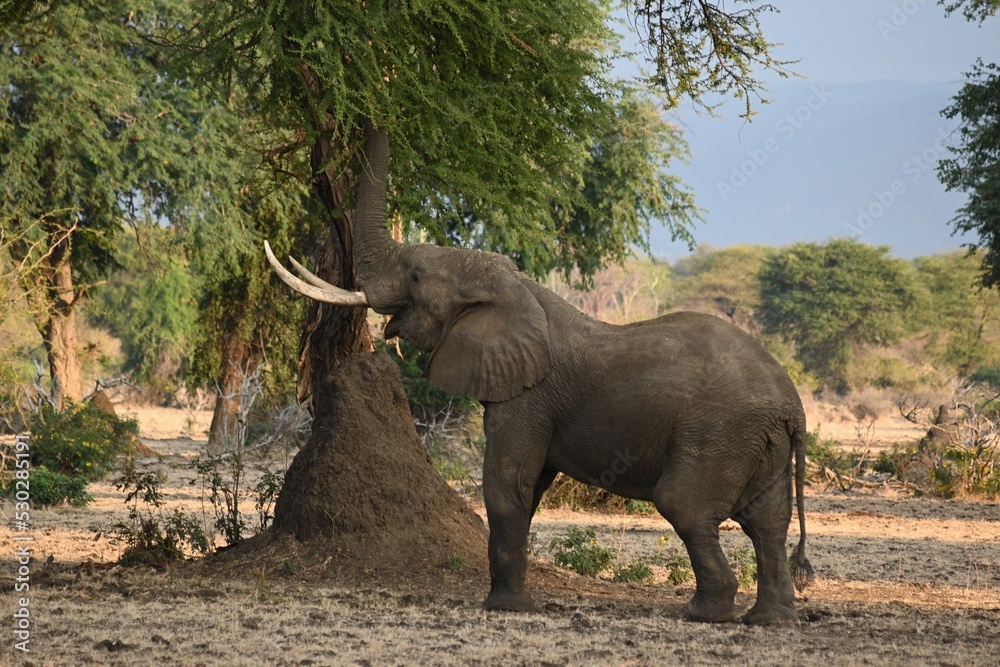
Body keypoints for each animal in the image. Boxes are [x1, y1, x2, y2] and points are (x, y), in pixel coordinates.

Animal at [265, 121, 814, 625]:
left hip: (718, 435)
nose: (378, 110)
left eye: (417, 277)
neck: (514, 288)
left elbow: (508, 485)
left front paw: (504, 608)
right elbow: (529, 490)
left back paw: (704, 613)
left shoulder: (528, 397)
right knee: (768, 523)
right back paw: (771, 618)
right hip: (757, 441)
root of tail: (792, 407)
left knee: (686, 506)